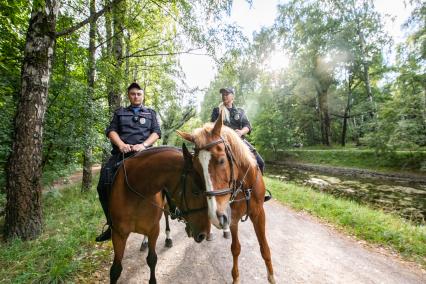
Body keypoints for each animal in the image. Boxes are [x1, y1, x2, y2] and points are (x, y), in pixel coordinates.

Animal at [108, 146, 210, 284]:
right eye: (195, 192)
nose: (203, 234)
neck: (136, 190)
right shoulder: (118, 234)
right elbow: (115, 269)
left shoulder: (154, 230)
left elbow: (152, 259)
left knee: (166, 217)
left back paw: (168, 239)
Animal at [179, 113, 276, 284]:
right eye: (197, 169)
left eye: (222, 160)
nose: (216, 217)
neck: (244, 185)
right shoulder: (233, 217)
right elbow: (235, 249)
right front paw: (235, 277)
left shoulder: (258, 213)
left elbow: (264, 248)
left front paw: (271, 277)